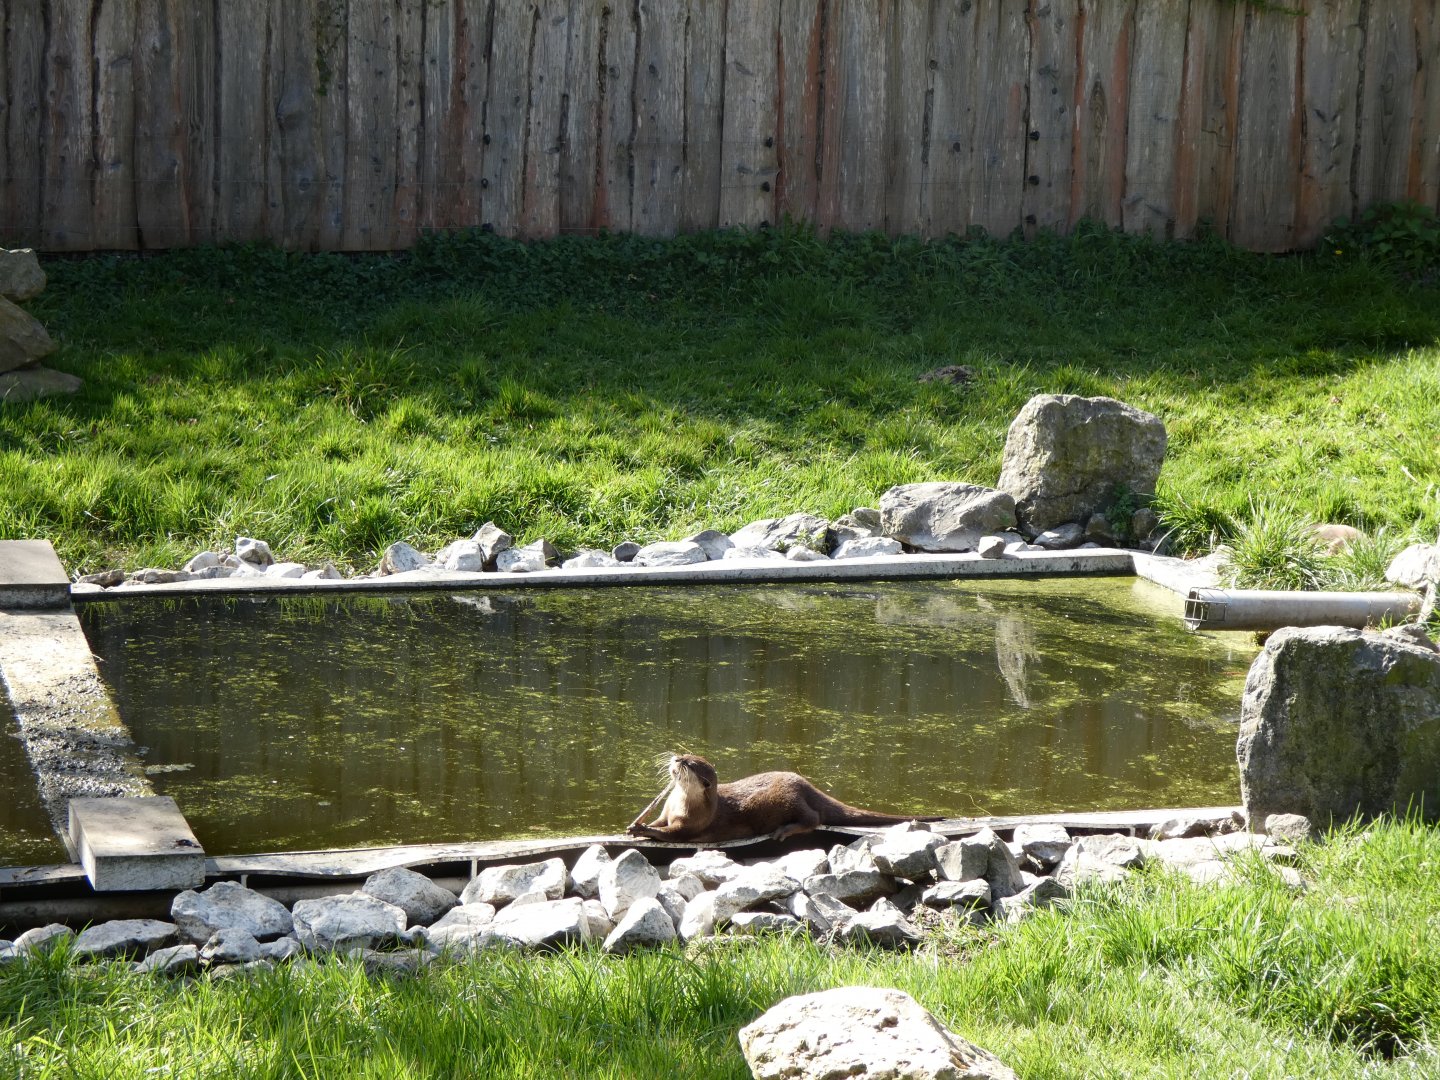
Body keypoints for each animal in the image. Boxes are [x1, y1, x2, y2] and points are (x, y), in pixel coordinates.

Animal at [627, 753, 939, 843]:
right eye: (683, 754)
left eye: (688, 765)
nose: (675, 758)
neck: (681, 802)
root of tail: (805, 783)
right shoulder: (667, 810)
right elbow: (661, 820)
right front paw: (637, 824)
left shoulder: (693, 824)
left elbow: (672, 833)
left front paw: (643, 829)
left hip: (787, 799)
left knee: (814, 818)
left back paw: (784, 831)